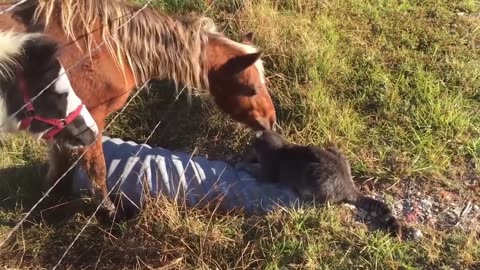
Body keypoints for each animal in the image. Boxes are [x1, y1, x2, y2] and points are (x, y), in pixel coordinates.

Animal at [1, 0, 278, 219]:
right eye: (252, 89)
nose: (271, 121)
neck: (104, 48)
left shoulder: (66, 126)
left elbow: (59, 160)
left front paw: (53, 195)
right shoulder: (89, 121)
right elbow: (97, 169)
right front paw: (108, 212)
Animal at [237, 130, 402, 237]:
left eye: (249, 145)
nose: (246, 146)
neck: (281, 146)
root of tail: (348, 184)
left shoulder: (269, 170)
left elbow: (258, 172)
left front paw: (243, 165)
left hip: (314, 174)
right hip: (335, 150)